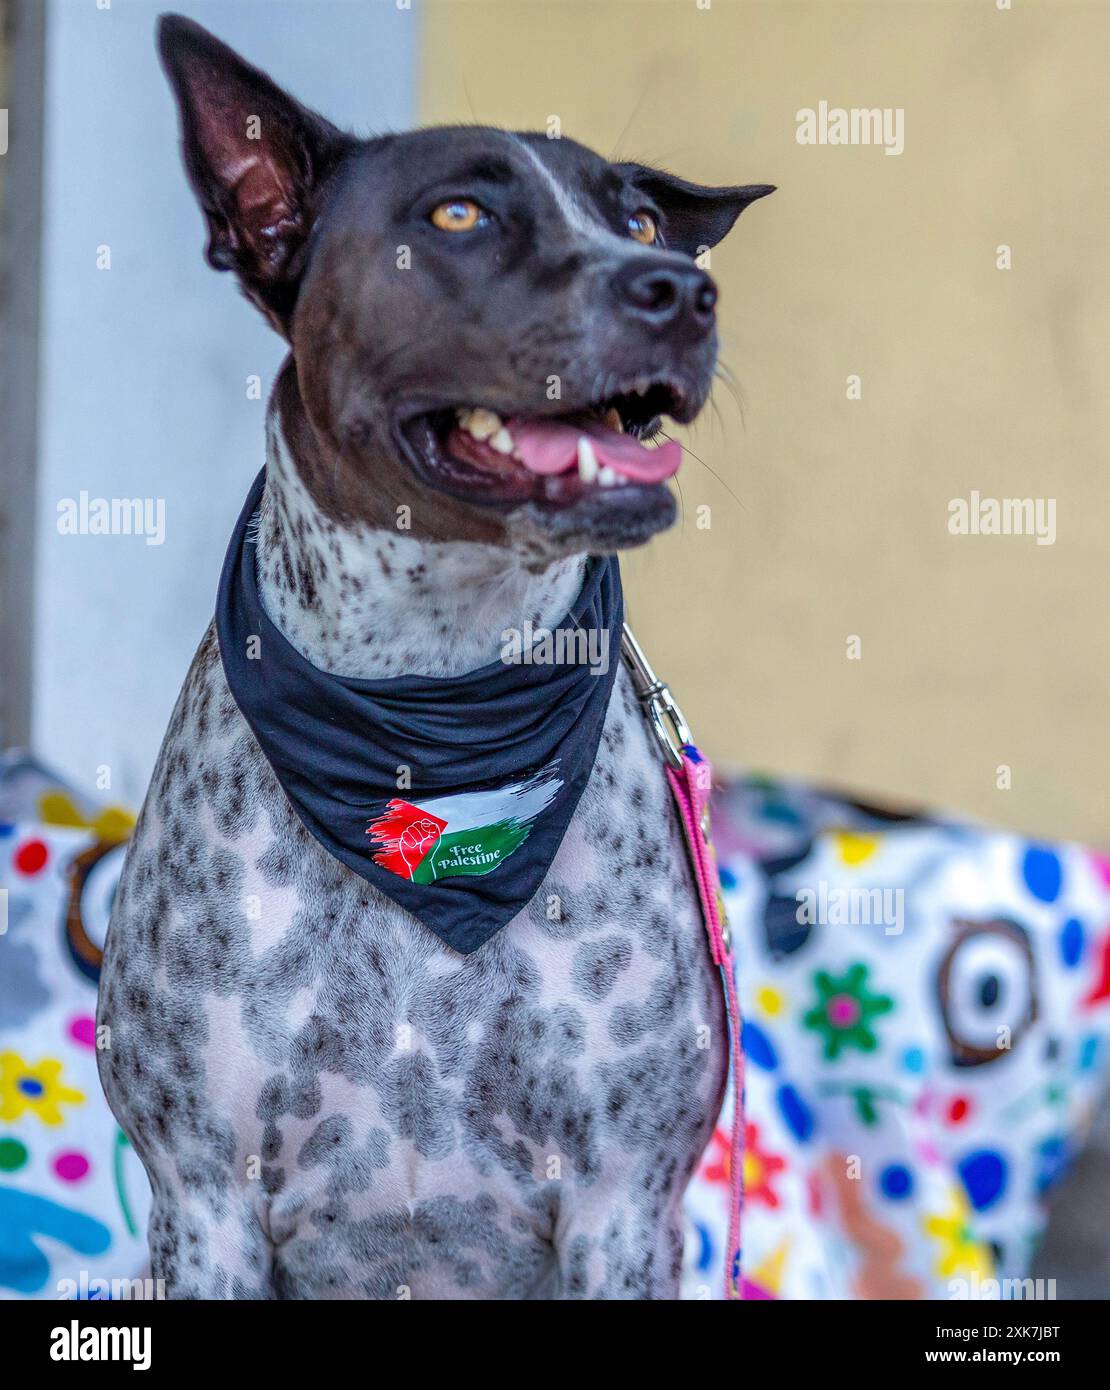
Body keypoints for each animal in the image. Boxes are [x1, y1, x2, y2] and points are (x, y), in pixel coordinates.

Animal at [97, 13, 772, 1301]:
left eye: (642, 224)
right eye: (460, 214)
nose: (682, 289)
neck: (429, 701)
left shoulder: (621, 1209)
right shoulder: (204, 1205)